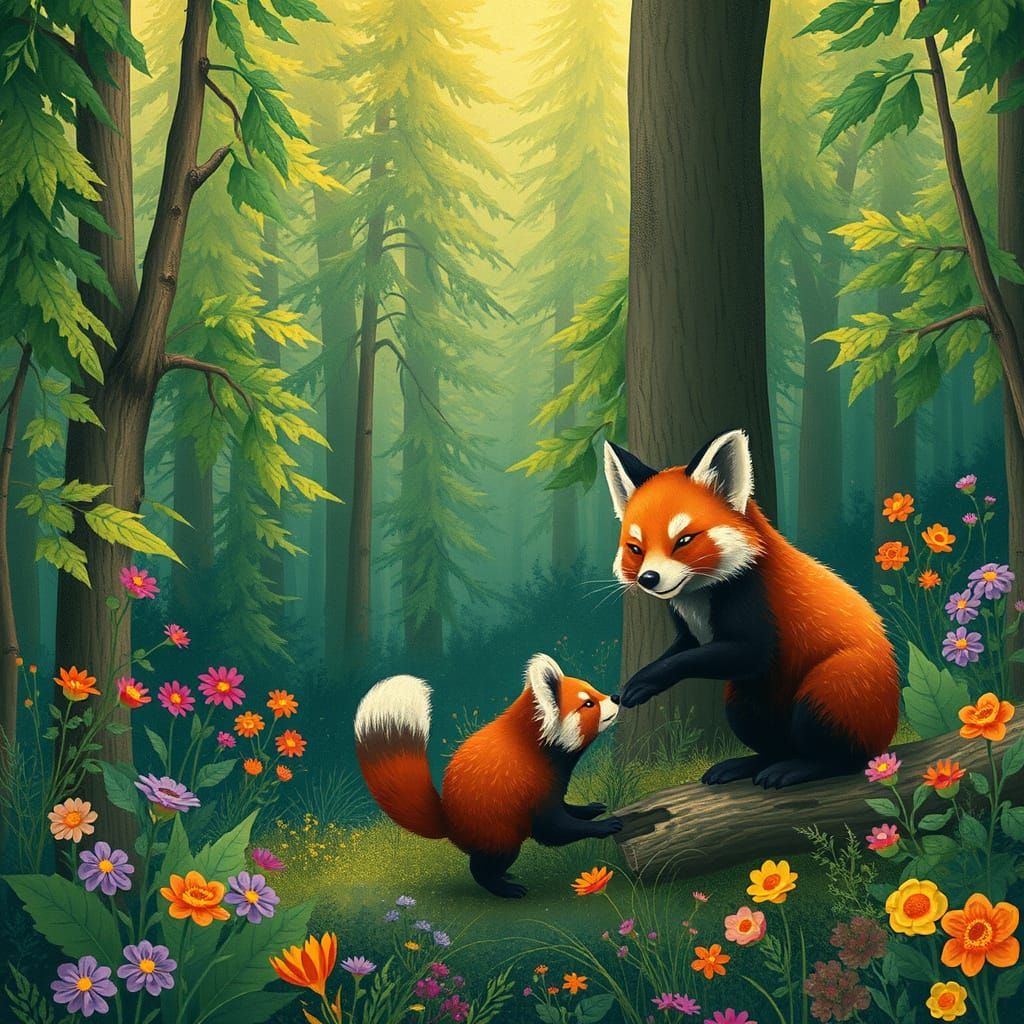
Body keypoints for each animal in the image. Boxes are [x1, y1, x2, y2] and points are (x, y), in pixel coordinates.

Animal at [354, 654, 621, 898]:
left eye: (595, 691)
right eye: (589, 704)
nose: (616, 697)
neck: (538, 747)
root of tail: (449, 818)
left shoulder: (554, 783)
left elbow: (564, 809)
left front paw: (590, 809)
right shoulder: (532, 786)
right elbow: (552, 829)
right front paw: (603, 825)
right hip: (497, 829)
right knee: (487, 863)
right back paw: (502, 886)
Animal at [604, 428, 899, 789]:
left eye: (684, 541)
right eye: (636, 548)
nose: (649, 578)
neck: (699, 597)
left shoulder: (755, 598)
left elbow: (748, 653)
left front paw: (648, 678)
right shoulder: (688, 626)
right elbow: (684, 648)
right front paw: (640, 680)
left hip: (838, 686)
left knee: (839, 748)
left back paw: (806, 766)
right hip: (744, 699)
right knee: (761, 728)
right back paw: (753, 762)